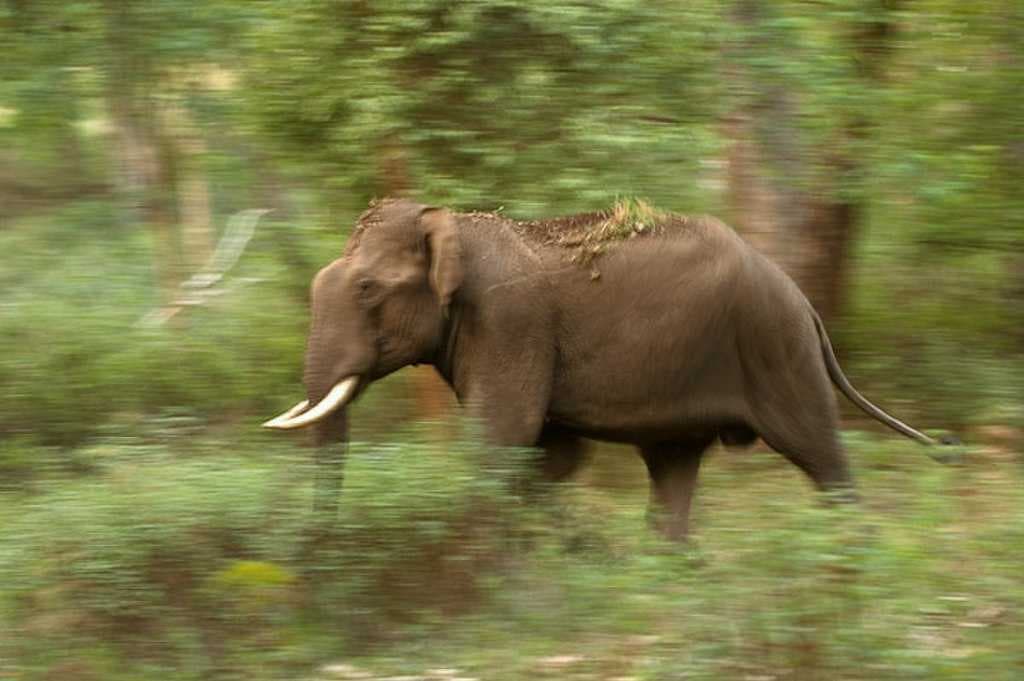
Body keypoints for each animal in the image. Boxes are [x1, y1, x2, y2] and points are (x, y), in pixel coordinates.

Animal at [264, 197, 947, 540]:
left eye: (367, 290)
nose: (317, 542)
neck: (451, 221)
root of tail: (804, 302)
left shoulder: (510, 320)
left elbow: (502, 442)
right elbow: (549, 452)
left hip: (777, 349)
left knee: (821, 456)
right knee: (672, 471)